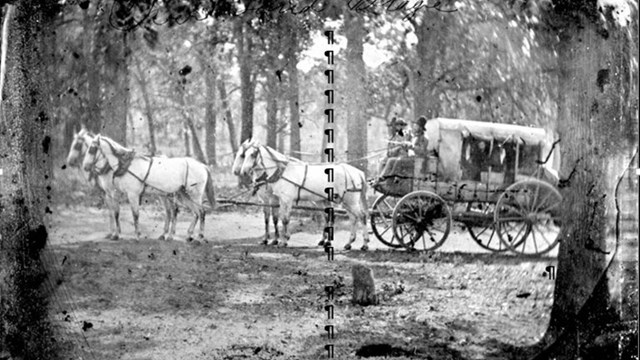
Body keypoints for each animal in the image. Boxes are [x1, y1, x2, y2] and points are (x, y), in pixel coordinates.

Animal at [82, 134, 216, 240]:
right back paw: (186, 235)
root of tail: (202, 165)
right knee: (191, 213)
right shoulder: (112, 193)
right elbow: (114, 212)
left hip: (194, 194)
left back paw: (199, 235)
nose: (85, 167)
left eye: (92, 149)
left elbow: (133, 214)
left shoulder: (130, 194)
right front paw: (115, 234)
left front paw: (136, 235)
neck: (124, 165)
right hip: (182, 194)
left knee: (200, 212)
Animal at [239, 139, 370, 250]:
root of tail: (357, 172)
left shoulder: (285, 199)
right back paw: (347, 243)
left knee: (362, 216)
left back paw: (364, 244)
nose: (243, 172)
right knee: (352, 218)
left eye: (253, 154)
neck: (282, 171)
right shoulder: (279, 200)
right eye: (244, 155)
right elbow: (280, 218)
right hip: (343, 202)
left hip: (350, 201)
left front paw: (283, 241)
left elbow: (284, 219)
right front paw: (281, 239)